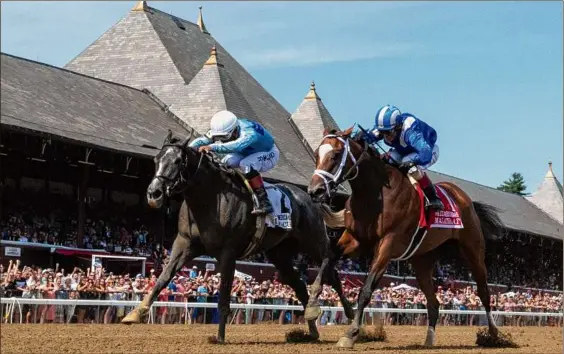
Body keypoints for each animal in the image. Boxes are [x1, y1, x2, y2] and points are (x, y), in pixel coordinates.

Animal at [122, 130, 352, 342]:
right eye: (156, 160)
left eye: (178, 161)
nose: (154, 193)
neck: (209, 198)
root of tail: (311, 197)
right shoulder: (184, 243)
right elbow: (163, 278)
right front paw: (135, 313)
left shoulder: (228, 252)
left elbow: (224, 296)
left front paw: (219, 337)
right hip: (280, 254)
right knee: (300, 285)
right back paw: (311, 328)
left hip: (313, 242)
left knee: (330, 268)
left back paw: (346, 314)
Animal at [308, 126, 502, 348]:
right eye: (317, 153)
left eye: (336, 154)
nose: (315, 191)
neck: (374, 193)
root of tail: (463, 197)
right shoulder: (355, 238)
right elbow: (328, 259)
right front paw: (311, 305)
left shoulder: (387, 244)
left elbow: (365, 290)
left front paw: (351, 333)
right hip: (422, 260)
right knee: (434, 302)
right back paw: (429, 339)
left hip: (473, 250)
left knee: (484, 292)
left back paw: (493, 334)